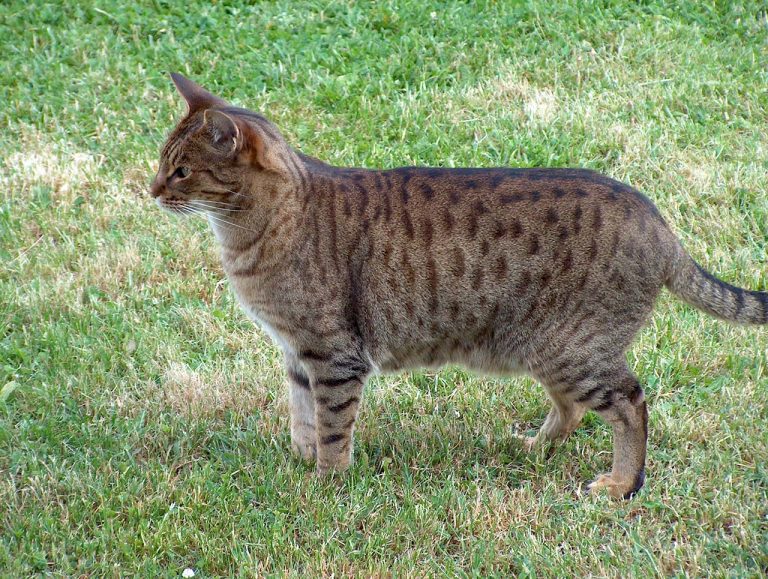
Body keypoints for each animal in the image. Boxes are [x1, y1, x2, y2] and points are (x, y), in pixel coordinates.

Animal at [150, 72, 768, 498]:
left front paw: (327, 484)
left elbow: (332, 426)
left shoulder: (333, 353)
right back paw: (534, 447)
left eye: (181, 170)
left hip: (572, 349)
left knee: (631, 402)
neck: (256, 227)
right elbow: (304, 418)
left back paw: (620, 485)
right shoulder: (297, 352)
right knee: (571, 409)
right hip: (547, 347)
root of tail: (660, 224)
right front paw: (302, 464)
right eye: (162, 163)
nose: (151, 190)